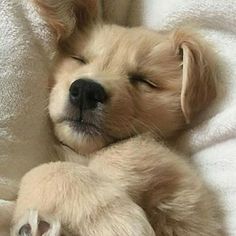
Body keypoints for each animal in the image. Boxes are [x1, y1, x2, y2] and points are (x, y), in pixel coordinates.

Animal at [11, 0, 225, 236]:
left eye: (145, 80)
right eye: (79, 59)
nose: (86, 91)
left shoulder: (193, 205)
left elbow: (132, 147)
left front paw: (115, 215)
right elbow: (46, 170)